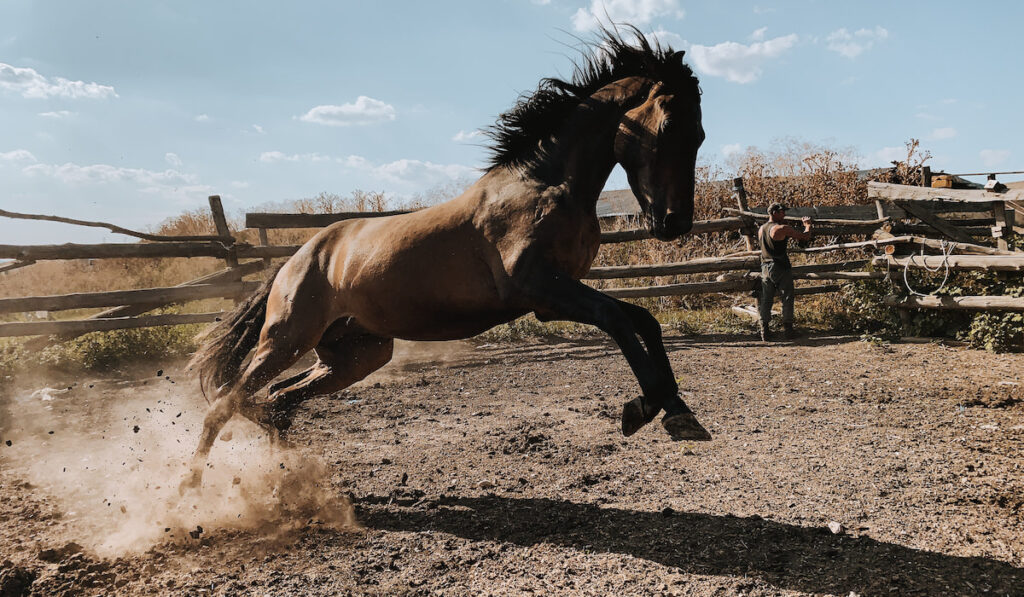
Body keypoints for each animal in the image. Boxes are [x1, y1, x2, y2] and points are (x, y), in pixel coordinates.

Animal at [182, 26, 704, 491]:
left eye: (699, 134)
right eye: (669, 126)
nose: (674, 223)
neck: (544, 185)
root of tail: (296, 260)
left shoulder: (554, 298)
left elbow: (641, 319)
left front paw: (675, 411)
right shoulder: (540, 287)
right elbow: (618, 320)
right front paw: (652, 410)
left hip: (354, 355)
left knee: (276, 400)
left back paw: (287, 477)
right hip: (287, 339)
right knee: (226, 402)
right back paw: (190, 492)